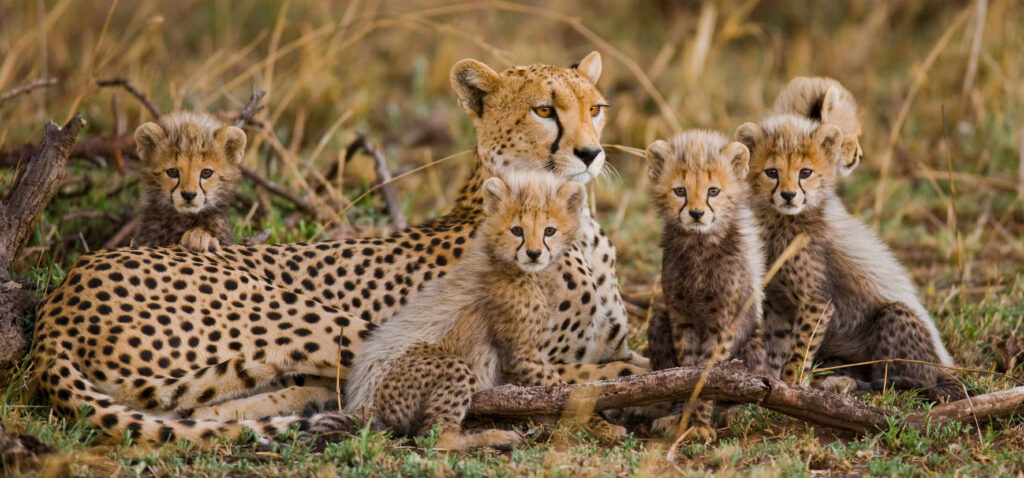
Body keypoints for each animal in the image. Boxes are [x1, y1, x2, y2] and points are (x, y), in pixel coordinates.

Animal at [345, 172, 605, 451]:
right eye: (517, 230)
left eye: (549, 231)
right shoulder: (522, 352)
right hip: (446, 368)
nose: (534, 253)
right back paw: (493, 436)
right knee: (438, 437)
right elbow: (562, 389)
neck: (512, 267)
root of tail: (362, 402)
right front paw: (602, 424)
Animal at [643, 130, 768, 443]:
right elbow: (685, 371)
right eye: (680, 191)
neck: (699, 245)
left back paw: (738, 411)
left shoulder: (722, 324)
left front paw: (699, 423)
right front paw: (683, 419)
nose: (697, 214)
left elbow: (709, 374)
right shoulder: (681, 317)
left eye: (713, 191)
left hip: (754, 342)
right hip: (659, 322)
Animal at [734, 114, 963, 401]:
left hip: (896, 321)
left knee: (898, 381)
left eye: (805, 172)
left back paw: (848, 384)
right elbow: (778, 345)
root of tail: (947, 369)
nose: (788, 195)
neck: (781, 221)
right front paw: (772, 383)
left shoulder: (817, 302)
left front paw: (791, 385)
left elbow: (800, 351)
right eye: (772, 172)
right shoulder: (778, 302)